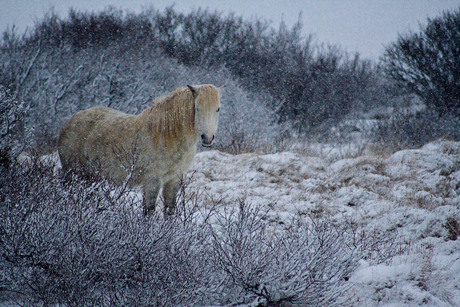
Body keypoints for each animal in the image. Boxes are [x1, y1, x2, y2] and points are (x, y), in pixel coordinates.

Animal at [58, 83, 221, 215]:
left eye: (218, 109)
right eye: (197, 108)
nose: (207, 138)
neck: (166, 136)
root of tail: (70, 121)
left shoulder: (174, 180)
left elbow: (170, 209)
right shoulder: (152, 181)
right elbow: (149, 211)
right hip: (71, 173)